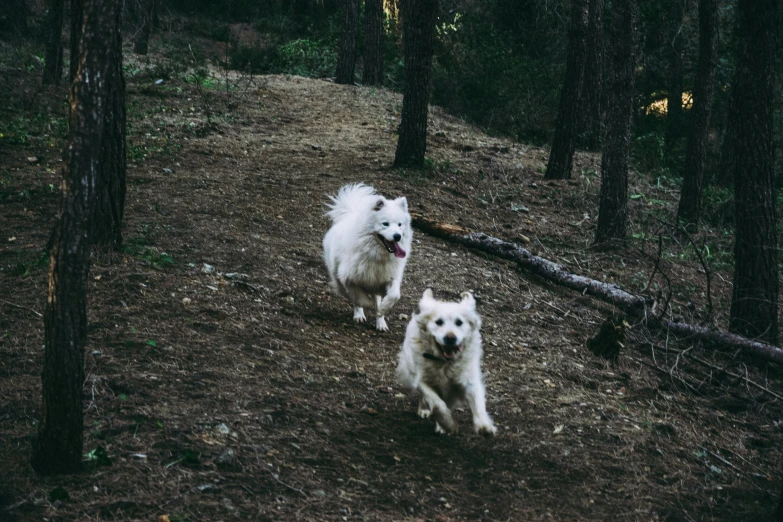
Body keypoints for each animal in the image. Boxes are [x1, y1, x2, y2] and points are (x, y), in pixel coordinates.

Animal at [324, 183, 414, 330]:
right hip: (339, 279)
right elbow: (361, 299)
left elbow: (394, 295)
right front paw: (365, 308)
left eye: (400, 224)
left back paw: (381, 323)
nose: (397, 236)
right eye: (385, 224)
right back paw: (359, 315)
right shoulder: (349, 279)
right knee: (354, 299)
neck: (377, 255)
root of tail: (349, 215)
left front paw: (382, 309)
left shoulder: (389, 278)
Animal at [396, 288, 500, 434]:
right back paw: (424, 409)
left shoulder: (469, 380)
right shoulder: (422, 380)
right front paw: (447, 424)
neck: (445, 363)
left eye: (459, 322)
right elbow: (437, 404)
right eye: (438, 322)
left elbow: (478, 403)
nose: (450, 338)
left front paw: (484, 426)